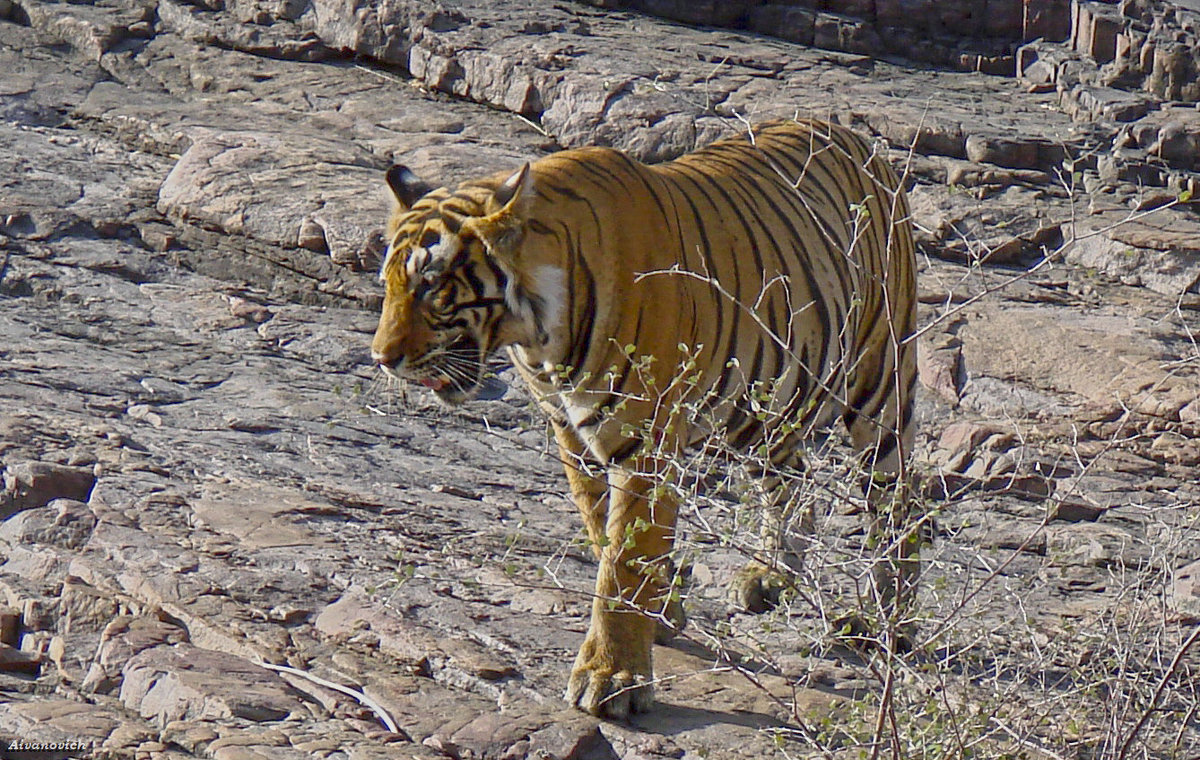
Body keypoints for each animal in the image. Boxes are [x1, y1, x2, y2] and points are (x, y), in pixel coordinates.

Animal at [372, 118, 916, 715]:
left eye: (430, 286)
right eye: (387, 285)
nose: (381, 358)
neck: (538, 337)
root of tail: (852, 132)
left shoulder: (643, 441)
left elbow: (625, 557)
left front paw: (612, 677)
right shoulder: (572, 435)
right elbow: (603, 533)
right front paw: (660, 615)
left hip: (880, 381)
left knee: (899, 502)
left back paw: (890, 622)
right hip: (763, 405)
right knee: (789, 482)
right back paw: (769, 576)